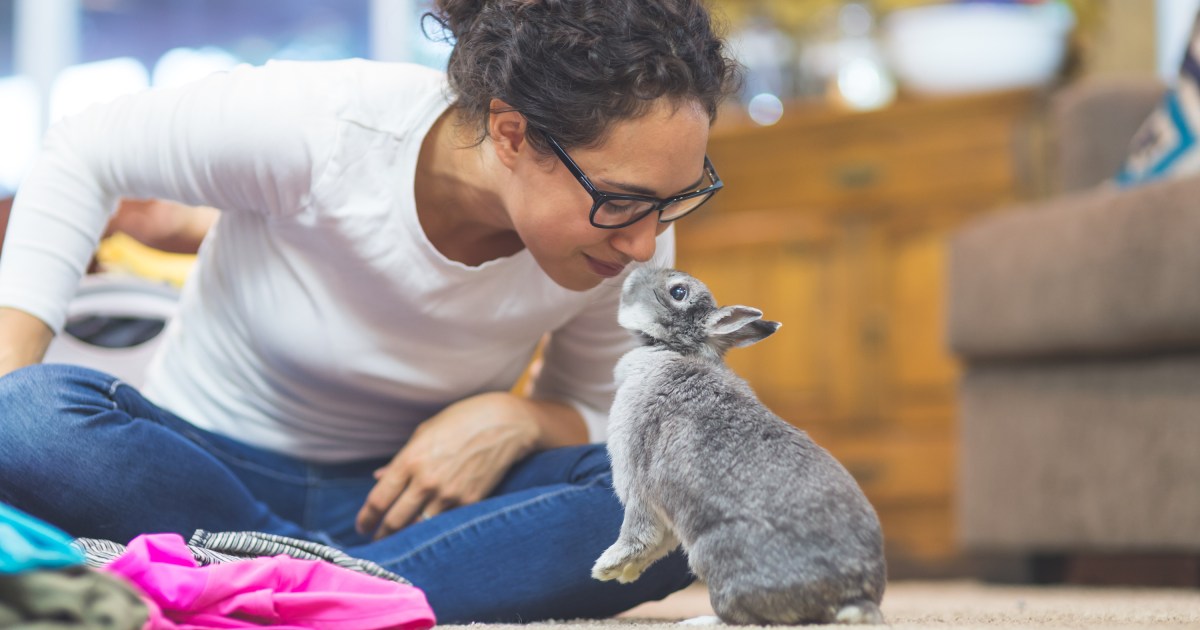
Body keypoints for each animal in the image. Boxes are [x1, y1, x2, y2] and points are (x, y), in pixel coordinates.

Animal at [592, 266, 886, 625]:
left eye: (678, 291)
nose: (635, 272)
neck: (673, 349)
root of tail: (853, 598)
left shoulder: (638, 483)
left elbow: (639, 532)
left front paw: (606, 568)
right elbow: (659, 542)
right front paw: (626, 574)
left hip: (713, 557)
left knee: (741, 617)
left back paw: (699, 621)